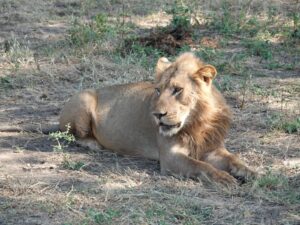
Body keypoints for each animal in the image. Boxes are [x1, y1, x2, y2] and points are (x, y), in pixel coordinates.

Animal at [59, 52, 256, 185]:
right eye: (158, 90)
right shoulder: (170, 158)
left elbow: (234, 159)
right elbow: (201, 166)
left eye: (178, 90)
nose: (157, 115)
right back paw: (93, 144)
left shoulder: (212, 149)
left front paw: (252, 174)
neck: (197, 122)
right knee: (74, 135)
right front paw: (224, 178)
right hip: (84, 98)